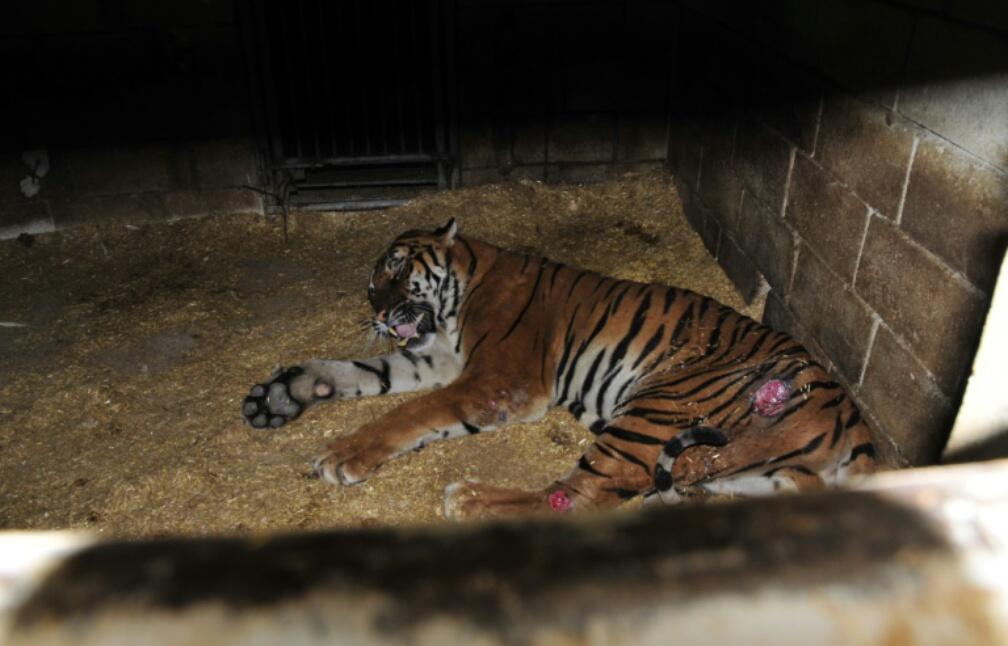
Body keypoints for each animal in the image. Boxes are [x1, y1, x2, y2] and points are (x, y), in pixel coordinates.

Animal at [241, 219, 874, 515]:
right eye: (371, 284)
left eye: (395, 268)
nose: (377, 311)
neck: (458, 296)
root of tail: (853, 419)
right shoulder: (437, 360)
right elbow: (360, 372)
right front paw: (279, 396)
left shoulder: (497, 382)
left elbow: (409, 414)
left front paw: (339, 455)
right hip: (737, 476)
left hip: (659, 407)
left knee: (580, 497)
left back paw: (468, 499)